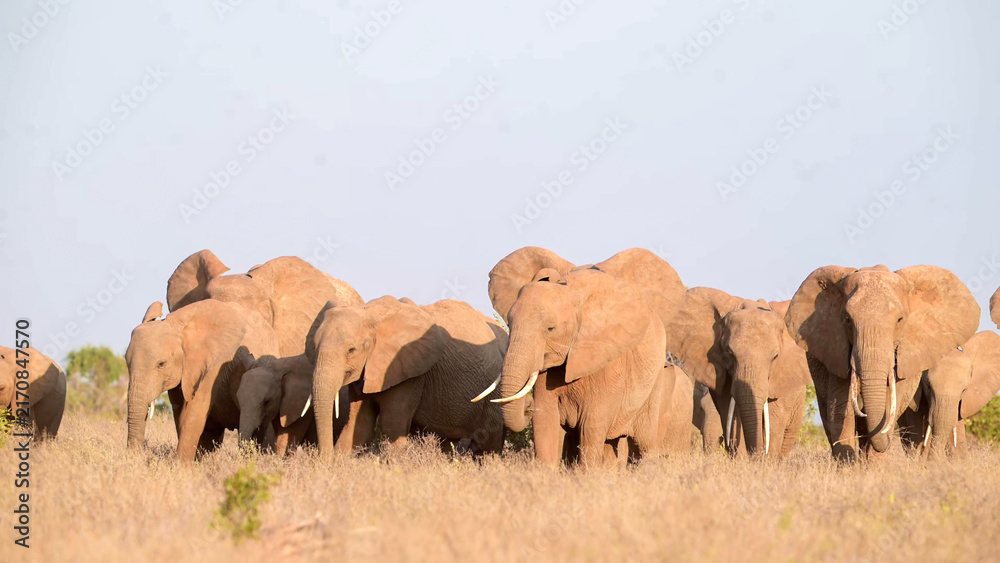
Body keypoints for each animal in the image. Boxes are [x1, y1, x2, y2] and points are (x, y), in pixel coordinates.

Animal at [125, 301, 278, 461]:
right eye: (126, 362)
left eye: (161, 364)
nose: (137, 456)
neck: (178, 325)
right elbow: (180, 411)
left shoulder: (215, 361)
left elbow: (197, 408)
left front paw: (179, 465)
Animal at [308, 296, 508, 459]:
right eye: (314, 347)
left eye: (351, 350)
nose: (324, 460)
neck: (370, 313)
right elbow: (359, 425)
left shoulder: (409, 373)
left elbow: (393, 426)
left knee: (490, 440)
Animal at [485, 247, 686, 468]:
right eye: (509, 324)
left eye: (550, 329)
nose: (528, 407)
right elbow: (545, 422)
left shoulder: (607, 360)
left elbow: (591, 425)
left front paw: (588, 474)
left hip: (655, 383)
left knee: (643, 443)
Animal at [666, 289, 810, 458]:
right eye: (729, 353)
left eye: (775, 357)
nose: (757, 456)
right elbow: (731, 414)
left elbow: (772, 423)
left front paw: (766, 460)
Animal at [785, 265, 979, 461]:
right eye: (847, 320)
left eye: (900, 320)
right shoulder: (835, 352)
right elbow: (840, 412)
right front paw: (848, 466)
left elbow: (888, 407)